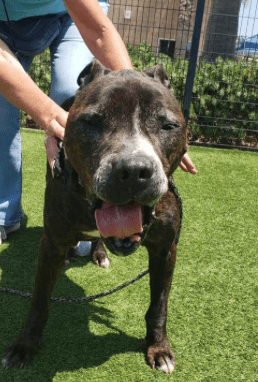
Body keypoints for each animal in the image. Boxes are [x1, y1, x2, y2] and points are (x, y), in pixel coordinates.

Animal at [1, 59, 187, 374]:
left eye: (168, 125)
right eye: (91, 122)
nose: (133, 170)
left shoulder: (165, 250)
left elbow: (159, 307)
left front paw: (158, 348)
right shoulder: (50, 243)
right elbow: (39, 301)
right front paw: (25, 346)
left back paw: (99, 253)